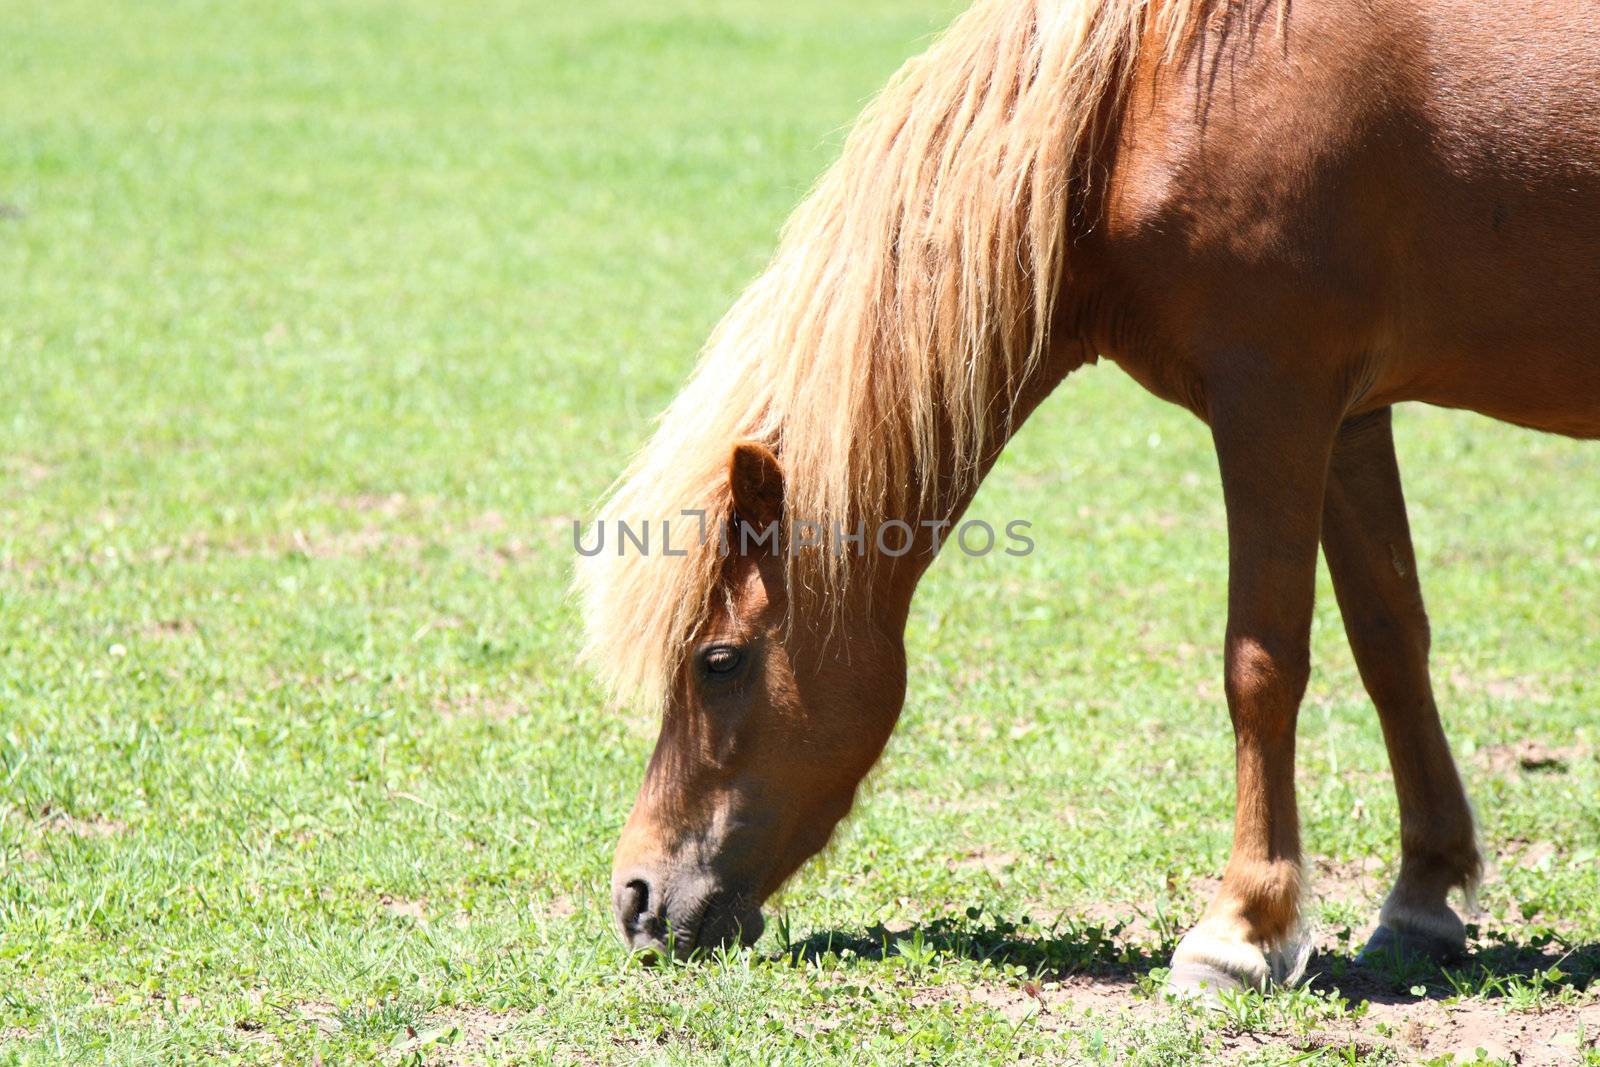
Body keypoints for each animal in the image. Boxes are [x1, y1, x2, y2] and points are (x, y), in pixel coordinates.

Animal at [576, 0, 1600, 998]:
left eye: (718, 660)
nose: (637, 897)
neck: (1149, 97)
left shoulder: (1275, 402)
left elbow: (1261, 665)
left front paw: (1240, 930)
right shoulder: (1351, 416)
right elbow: (1391, 643)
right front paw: (1423, 900)